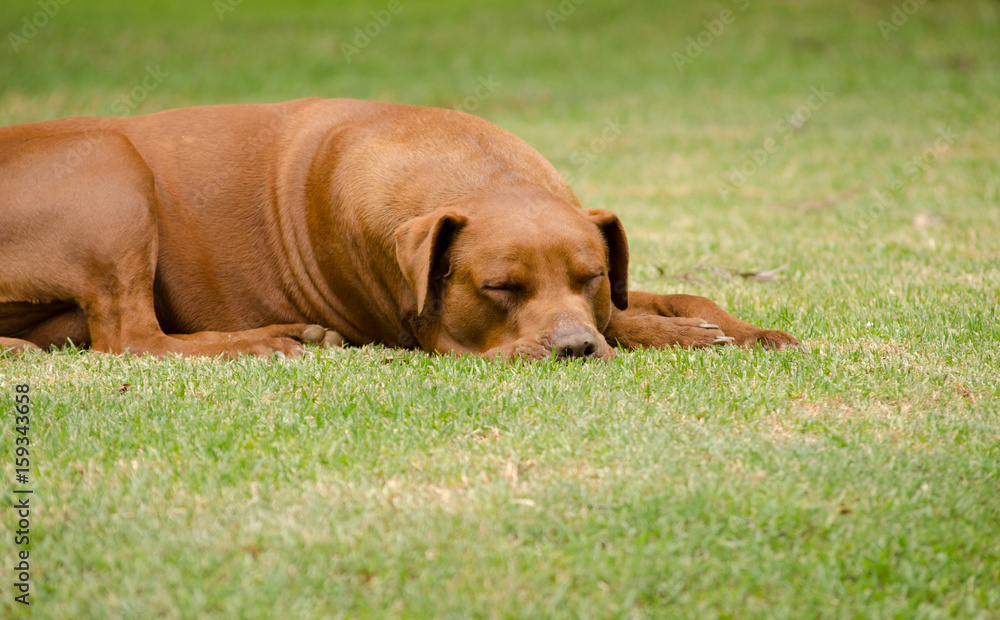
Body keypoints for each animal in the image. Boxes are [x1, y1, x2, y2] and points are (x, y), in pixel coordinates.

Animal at [0, 98, 800, 358]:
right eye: (499, 287)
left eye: (594, 276)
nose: (575, 349)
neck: (478, 175)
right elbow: (639, 323)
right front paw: (681, 334)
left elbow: (675, 298)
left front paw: (745, 327)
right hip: (112, 167)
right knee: (131, 339)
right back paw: (264, 342)